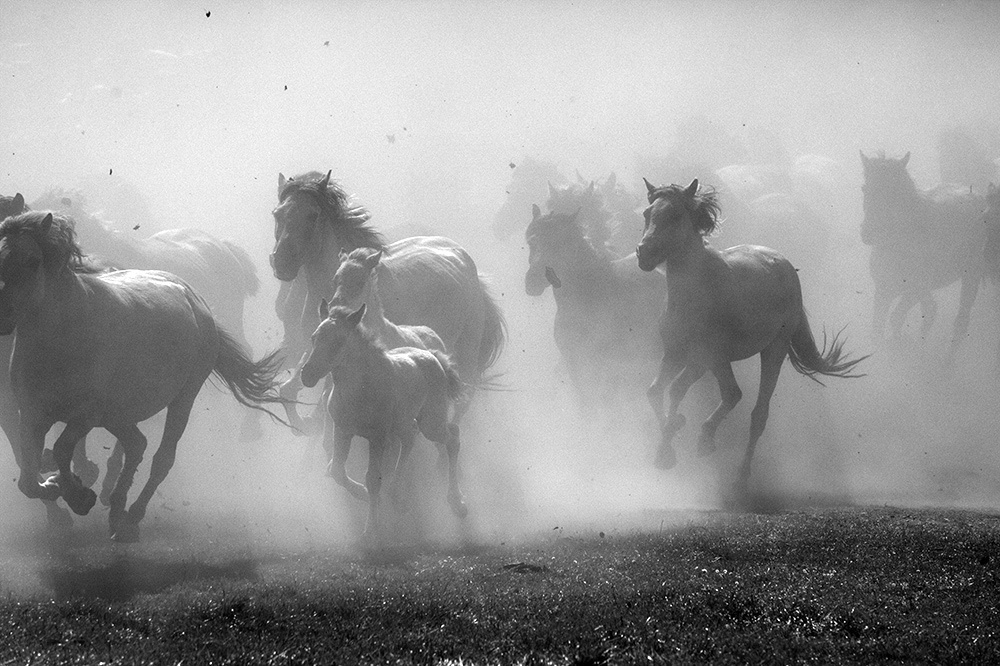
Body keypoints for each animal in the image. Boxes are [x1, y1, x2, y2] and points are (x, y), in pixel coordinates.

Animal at [0, 211, 289, 541]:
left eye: (33, 260)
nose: (3, 317)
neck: (62, 335)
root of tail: (193, 296)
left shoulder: (85, 415)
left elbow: (61, 451)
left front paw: (80, 496)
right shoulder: (32, 415)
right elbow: (27, 479)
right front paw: (60, 486)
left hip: (182, 399)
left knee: (162, 458)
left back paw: (131, 518)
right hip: (118, 413)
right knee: (136, 444)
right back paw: (116, 511)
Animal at [270, 170, 505, 432]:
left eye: (313, 215)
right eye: (277, 214)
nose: (282, 262)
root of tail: (468, 265)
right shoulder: (313, 347)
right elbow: (290, 389)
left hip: (467, 351)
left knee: (463, 400)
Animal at [299, 302, 466, 541]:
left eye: (339, 341)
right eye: (313, 338)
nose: (308, 375)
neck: (360, 389)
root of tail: (432, 354)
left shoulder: (377, 437)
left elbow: (372, 478)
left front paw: (371, 530)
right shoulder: (342, 430)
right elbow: (337, 470)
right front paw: (362, 494)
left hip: (431, 422)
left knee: (452, 437)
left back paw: (457, 502)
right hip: (404, 422)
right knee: (410, 438)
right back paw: (397, 496)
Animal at [635, 179, 867, 490]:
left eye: (675, 215)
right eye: (647, 214)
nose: (644, 253)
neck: (695, 290)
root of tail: (786, 265)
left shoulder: (701, 358)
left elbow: (675, 388)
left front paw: (673, 434)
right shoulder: (674, 354)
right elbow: (655, 390)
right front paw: (667, 450)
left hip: (773, 350)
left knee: (758, 413)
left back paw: (740, 475)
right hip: (723, 361)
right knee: (733, 394)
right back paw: (706, 440)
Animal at [859, 151, 987, 355]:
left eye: (895, 193)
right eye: (865, 188)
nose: (867, 234)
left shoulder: (916, 289)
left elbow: (907, 317)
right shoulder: (884, 291)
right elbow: (878, 330)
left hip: (971, 274)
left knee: (959, 323)